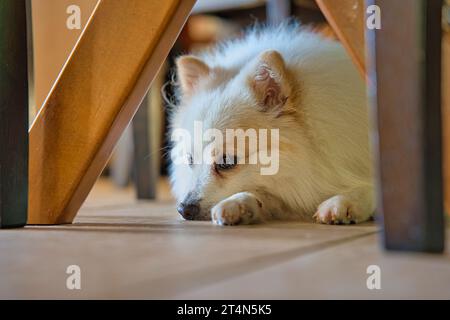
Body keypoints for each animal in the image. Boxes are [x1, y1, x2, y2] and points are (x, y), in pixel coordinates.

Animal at [169, 23, 372, 226]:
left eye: (226, 162)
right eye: (190, 160)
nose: (184, 209)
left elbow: (369, 187)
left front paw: (344, 201)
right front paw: (238, 204)